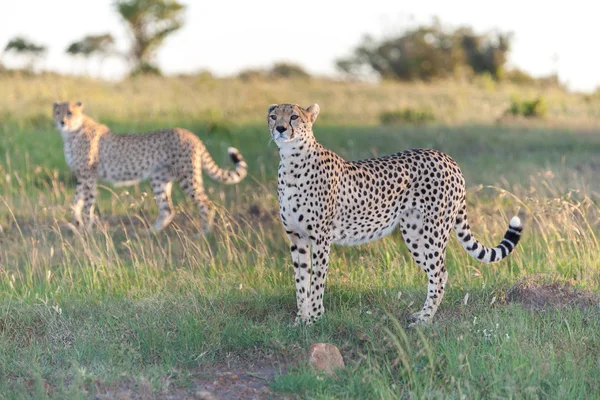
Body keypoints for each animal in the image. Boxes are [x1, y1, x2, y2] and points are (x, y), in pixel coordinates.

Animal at [52, 101, 246, 233]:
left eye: (69, 113)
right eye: (57, 112)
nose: (62, 122)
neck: (72, 133)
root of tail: (190, 134)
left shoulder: (89, 176)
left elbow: (88, 203)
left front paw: (87, 229)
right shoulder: (82, 176)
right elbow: (75, 202)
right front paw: (77, 224)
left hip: (187, 177)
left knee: (207, 204)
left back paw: (203, 234)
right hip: (159, 178)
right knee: (167, 210)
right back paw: (150, 233)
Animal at [270, 104, 524, 328]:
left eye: (294, 117)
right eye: (273, 116)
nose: (280, 128)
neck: (292, 161)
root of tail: (447, 157)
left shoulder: (321, 238)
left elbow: (316, 282)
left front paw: (314, 318)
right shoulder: (297, 238)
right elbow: (301, 281)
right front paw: (301, 320)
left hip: (433, 233)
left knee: (440, 274)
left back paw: (424, 321)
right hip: (414, 234)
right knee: (436, 274)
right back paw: (421, 314)